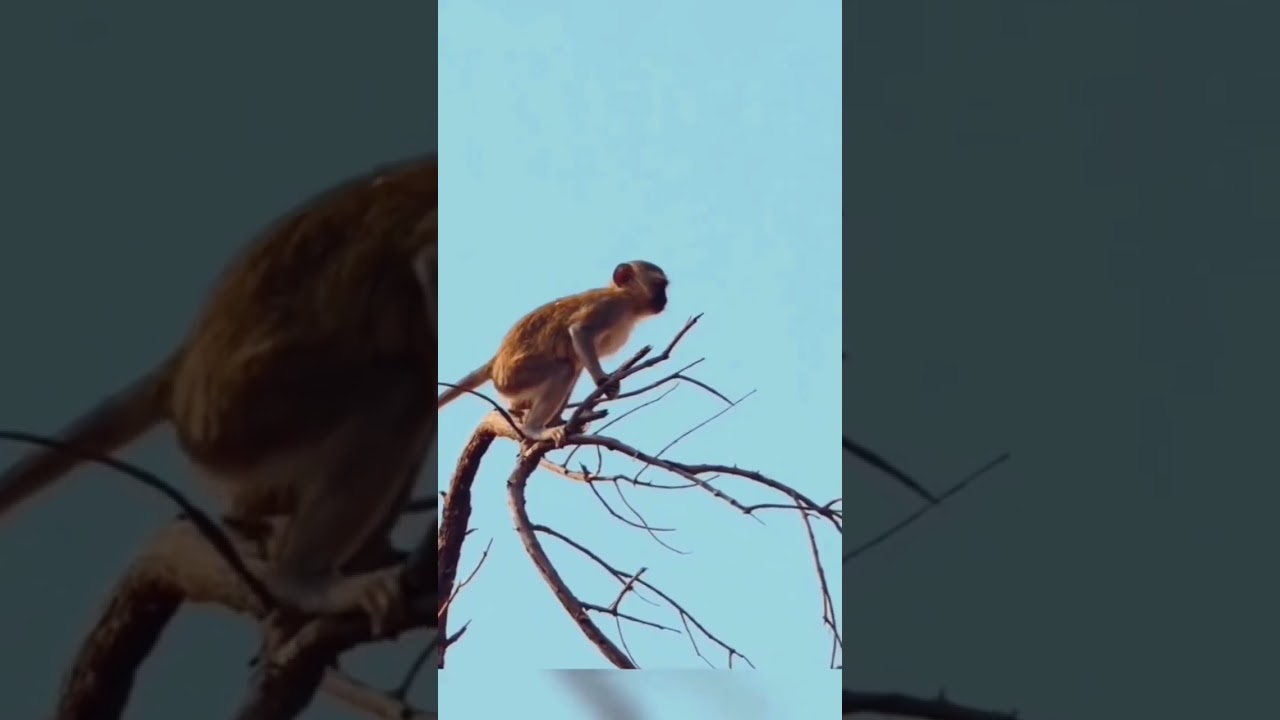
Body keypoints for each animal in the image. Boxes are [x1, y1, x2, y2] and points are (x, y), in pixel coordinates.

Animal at [436, 260, 668, 448]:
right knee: (564, 369)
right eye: (660, 285)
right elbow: (579, 332)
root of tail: (495, 363)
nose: (665, 301)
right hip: (513, 376)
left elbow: (578, 359)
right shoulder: (610, 307)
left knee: (571, 368)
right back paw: (534, 428)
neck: (628, 301)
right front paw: (603, 380)